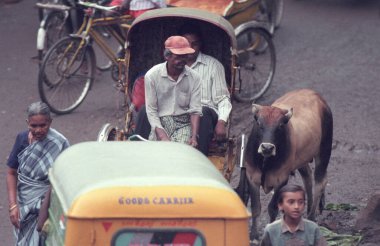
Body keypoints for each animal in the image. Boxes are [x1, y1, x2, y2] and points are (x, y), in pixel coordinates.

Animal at [243, 89, 332, 240]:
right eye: (259, 124)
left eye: (280, 126)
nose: (267, 147)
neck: (266, 161)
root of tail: (316, 95)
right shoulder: (252, 177)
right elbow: (255, 208)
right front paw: (253, 235)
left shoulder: (281, 179)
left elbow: (272, 208)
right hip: (301, 159)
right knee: (308, 177)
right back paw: (309, 209)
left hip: (324, 151)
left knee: (320, 182)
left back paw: (311, 215)